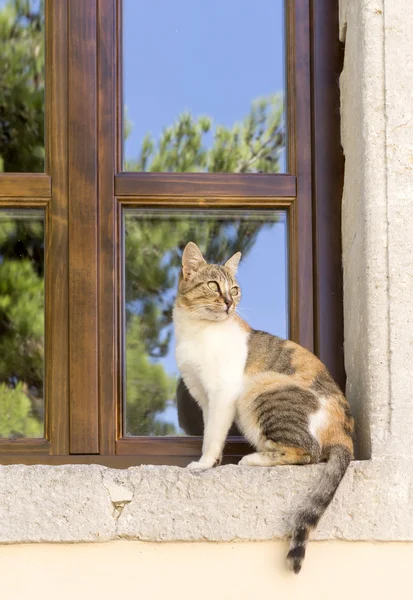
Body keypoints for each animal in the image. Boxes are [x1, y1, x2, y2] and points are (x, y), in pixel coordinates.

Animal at [172, 241, 352, 576]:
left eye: (235, 289)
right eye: (213, 285)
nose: (229, 302)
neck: (195, 330)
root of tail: (345, 433)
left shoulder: (223, 393)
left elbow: (212, 435)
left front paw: (203, 465)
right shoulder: (202, 395)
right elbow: (211, 430)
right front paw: (214, 463)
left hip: (258, 389)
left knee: (308, 451)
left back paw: (252, 459)